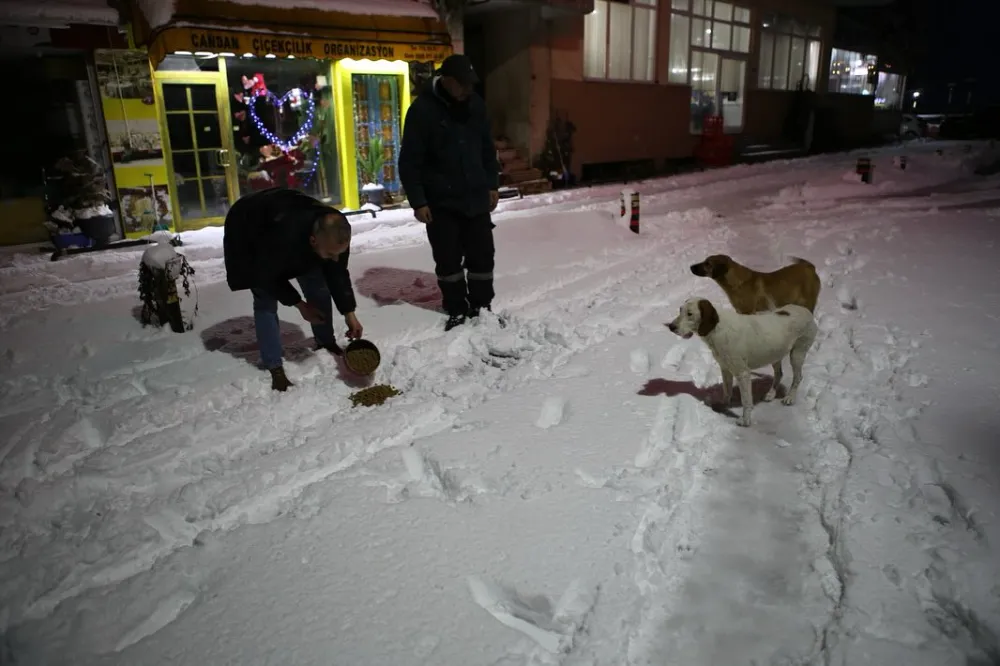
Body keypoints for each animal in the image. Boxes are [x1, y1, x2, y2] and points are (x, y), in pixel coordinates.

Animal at [668, 296, 816, 426]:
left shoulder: (743, 373)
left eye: (690, 314)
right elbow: (727, 390)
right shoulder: (725, 369)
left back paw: (790, 398)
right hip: (775, 354)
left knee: (798, 377)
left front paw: (745, 421)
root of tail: (806, 311)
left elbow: (746, 400)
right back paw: (771, 394)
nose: (670, 326)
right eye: (680, 310)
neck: (717, 329)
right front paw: (724, 405)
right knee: (779, 373)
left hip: (797, 354)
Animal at [692, 255, 824, 316]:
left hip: (808, 303)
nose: (691, 267)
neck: (737, 282)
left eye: (707, 263)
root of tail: (810, 267)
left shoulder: (748, 312)